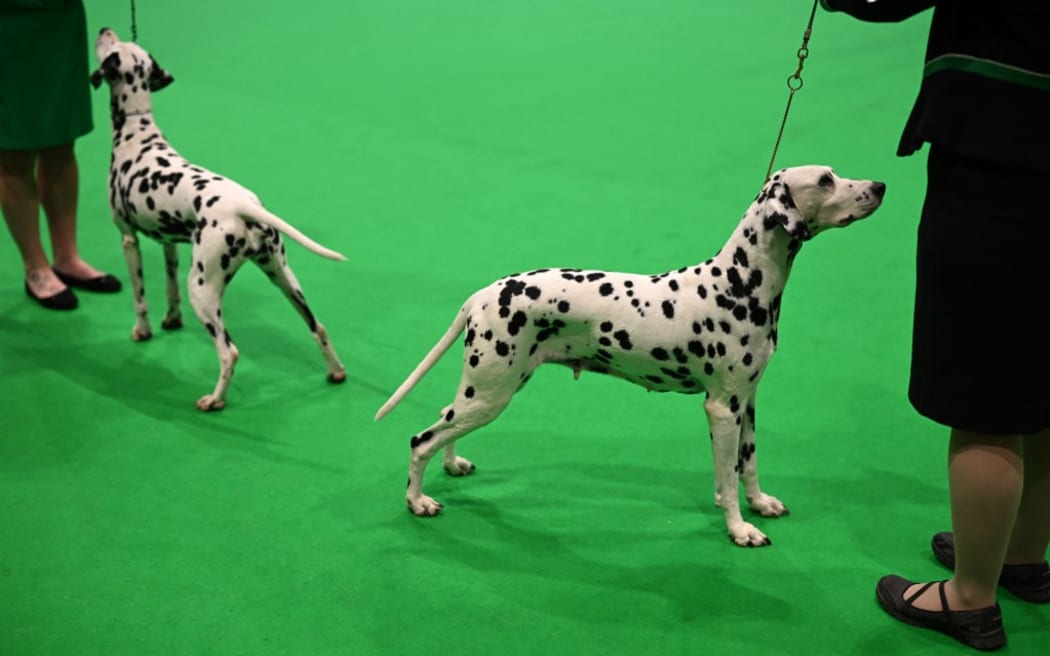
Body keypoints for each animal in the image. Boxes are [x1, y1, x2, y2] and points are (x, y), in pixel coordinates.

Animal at [92, 32, 346, 409]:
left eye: (112, 46)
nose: (105, 28)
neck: (137, 133)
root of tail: (245, 206)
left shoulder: (128, 239)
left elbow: (139, 296)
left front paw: (142, 331)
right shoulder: (168, 243)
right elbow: (169, 290)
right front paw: (171, 320)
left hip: (203, 291)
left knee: (229, 352)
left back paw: (214, 400)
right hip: (283, 277)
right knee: (318, 327)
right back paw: (336, 372)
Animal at [377, 165, 886, 545]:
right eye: (825, 180)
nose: (880, 186)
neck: (740, 282)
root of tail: (482, 295)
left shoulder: (749, 402)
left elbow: (749, 463)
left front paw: (759, 504)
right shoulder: (722, 408)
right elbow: (727, 475)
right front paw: (739, 528)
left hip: (484, 390)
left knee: (444, 424)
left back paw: (452, 464)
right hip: (490, 392)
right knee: (421, 439)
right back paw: (417, 502)